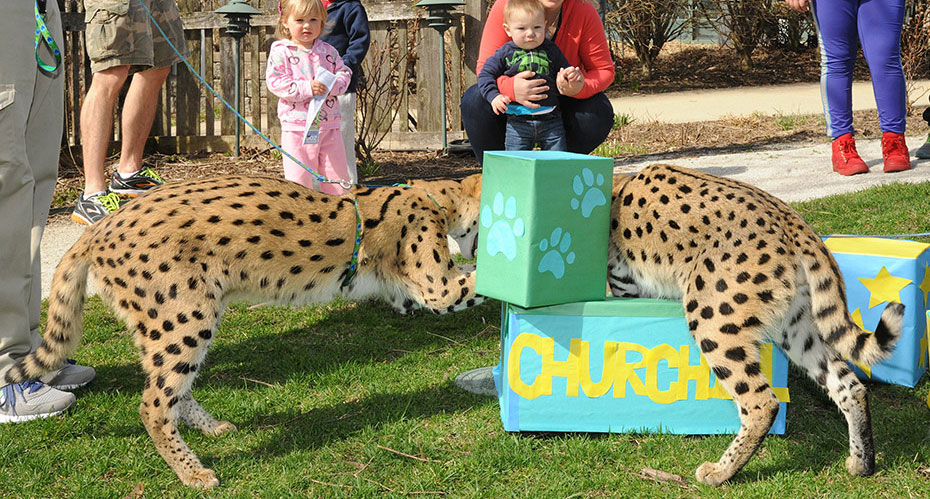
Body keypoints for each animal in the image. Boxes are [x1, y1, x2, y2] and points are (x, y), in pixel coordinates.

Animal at [7, 174, 482, 490]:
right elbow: (477, 282)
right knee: (152, 406)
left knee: (170, 390)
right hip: (186, 319)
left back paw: (209, 427)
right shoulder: (438, 288)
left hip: (166, 324)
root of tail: (100, 228)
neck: (435, 195)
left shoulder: (413, 292)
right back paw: (193, 472)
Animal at [604, 166, 904, 486]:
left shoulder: (625, 282)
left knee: (762, 402)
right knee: (850, 386)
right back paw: (861, 463)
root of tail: (791, 219)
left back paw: (720, 472)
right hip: (796, 327)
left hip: (712, 318)